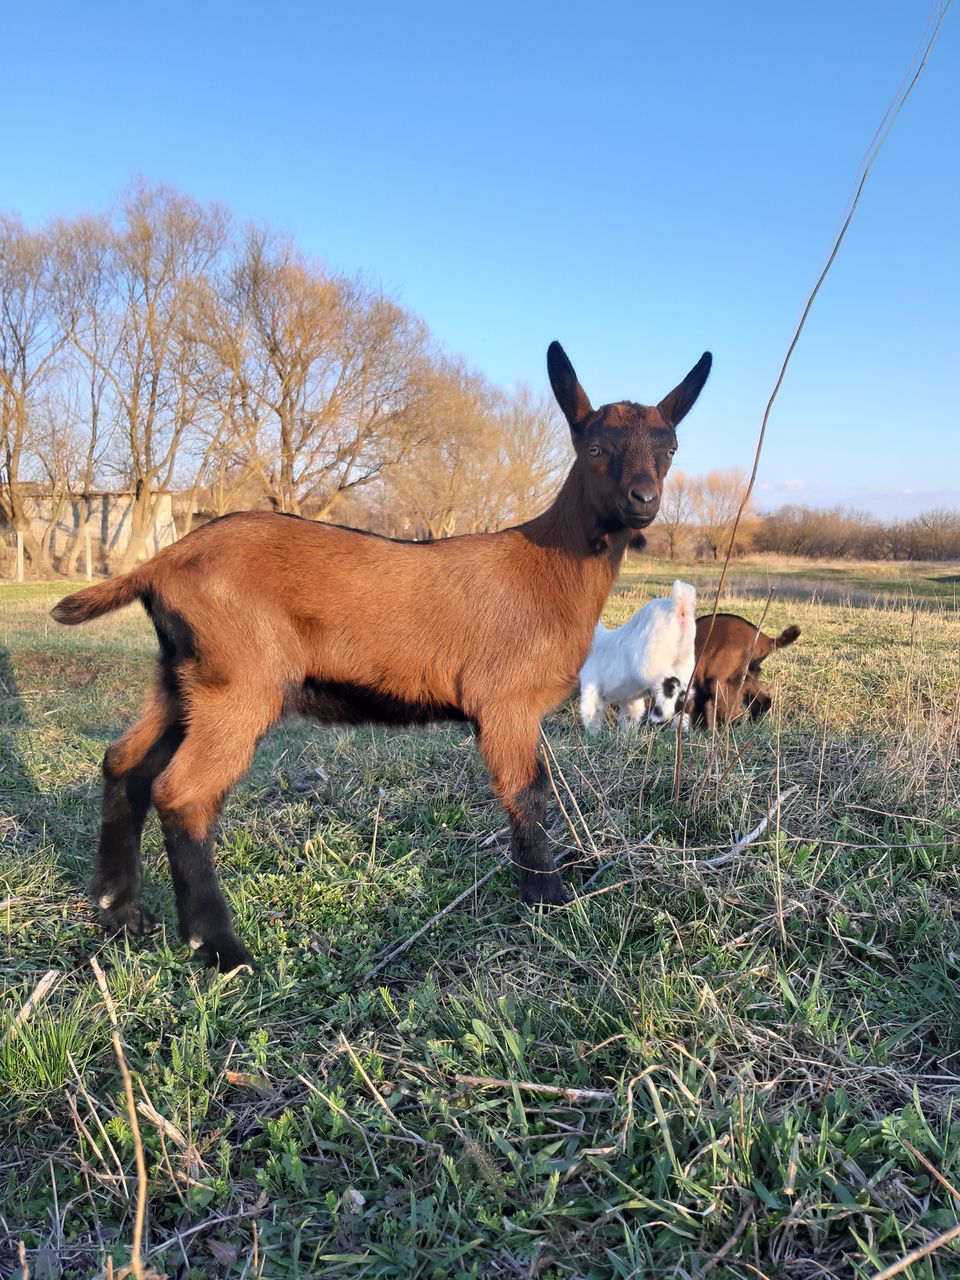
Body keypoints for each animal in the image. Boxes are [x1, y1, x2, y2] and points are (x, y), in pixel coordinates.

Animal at [578, 578, 701, 732]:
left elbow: (591, 713)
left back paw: (658, 715)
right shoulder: (629, 699)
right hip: (684, 664)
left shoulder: (591, 687)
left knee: (671, 683)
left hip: (650, 663)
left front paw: (593, 734)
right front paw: (627, 734)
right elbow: (630, 716)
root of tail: (680, 608)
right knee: (685, 695)